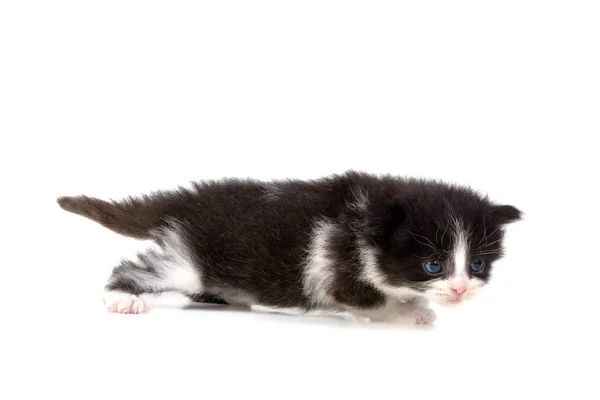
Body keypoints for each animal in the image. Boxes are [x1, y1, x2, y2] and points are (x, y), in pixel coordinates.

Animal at [58, 170, 524, 324]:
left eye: (476, 264)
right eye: (432, 265)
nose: (459, 289)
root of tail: (187, 200)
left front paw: (418, 307)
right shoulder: (335, 270)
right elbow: (375, 302)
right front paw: (410, 313)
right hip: (188, 260)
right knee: (136, 269)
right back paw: (122, 299)